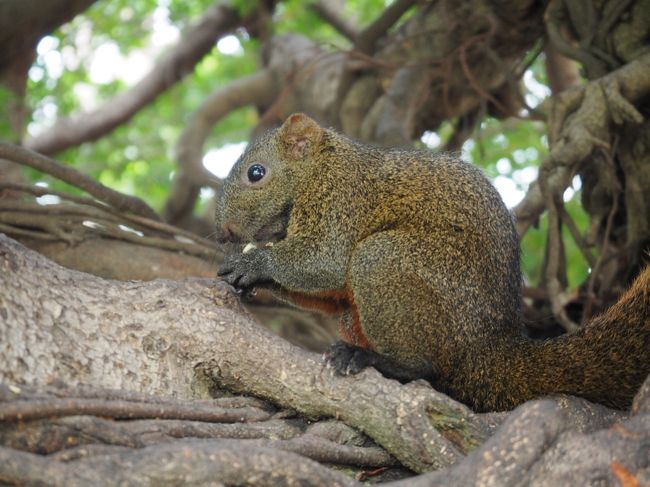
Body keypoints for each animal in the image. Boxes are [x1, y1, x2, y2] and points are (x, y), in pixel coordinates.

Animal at [216, 112, 648, 414]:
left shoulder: (341, 198)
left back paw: (378, 361)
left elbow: (327, 261)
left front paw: (254, 265)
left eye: (257, 173)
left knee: (426, 366)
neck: (320, 167)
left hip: (386, 264)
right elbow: (330, 291)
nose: (224, 232)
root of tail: (492, 351)